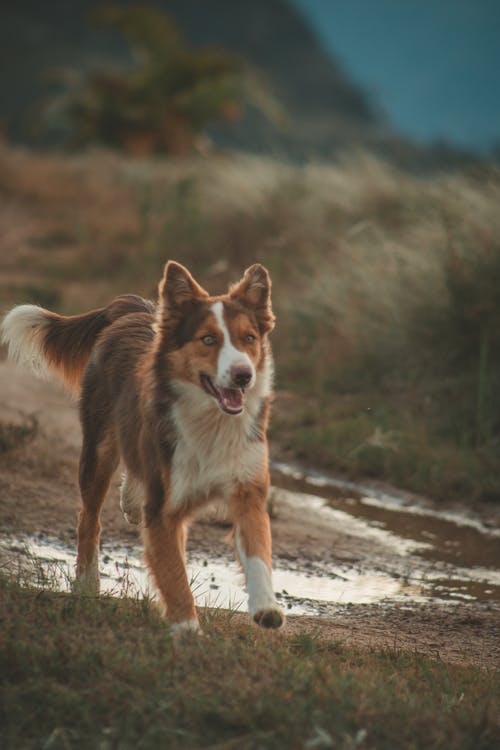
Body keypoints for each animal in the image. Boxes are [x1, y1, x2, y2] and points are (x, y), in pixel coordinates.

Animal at [0, 262, 286, 636]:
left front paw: (266, 607)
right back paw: (87, 584)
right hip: (98, 450)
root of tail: (132, 308)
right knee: (89, 520)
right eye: (208, 339)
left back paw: (131, 503)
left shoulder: (247, 488)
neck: (211, 420)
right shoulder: (163, 506)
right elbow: (175, 575)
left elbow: (258, 551)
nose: (243, 375)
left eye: (249, 338)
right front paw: (187, 630)